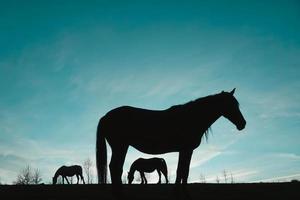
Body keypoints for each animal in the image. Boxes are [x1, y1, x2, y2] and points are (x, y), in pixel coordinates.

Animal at [96, 88, 246, 185]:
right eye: (230, 105)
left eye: (237, 104)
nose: (243, 124)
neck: (192, 117)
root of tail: (105, 117)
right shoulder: (186, 150)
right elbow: (182, 172)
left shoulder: (185, 151)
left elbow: (182, 173)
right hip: (120, 146)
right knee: (115, 168)